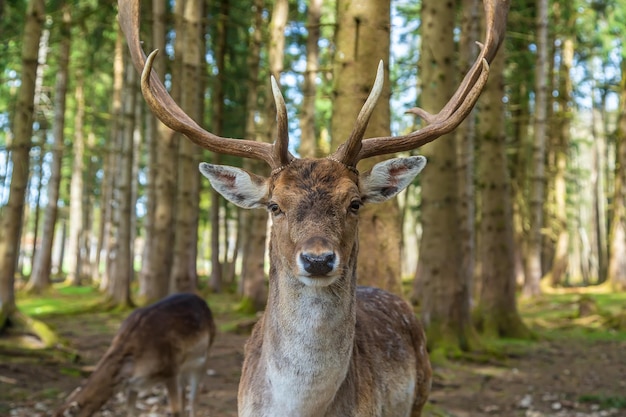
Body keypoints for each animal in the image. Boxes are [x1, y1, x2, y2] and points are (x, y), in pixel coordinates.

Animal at [51, 292, 217, 416]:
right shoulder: (132, 385)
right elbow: (130, 411)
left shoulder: (171, 370)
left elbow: (175, 411)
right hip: (184, 367)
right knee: (184, 393)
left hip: (203, 357)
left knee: (194, 398)